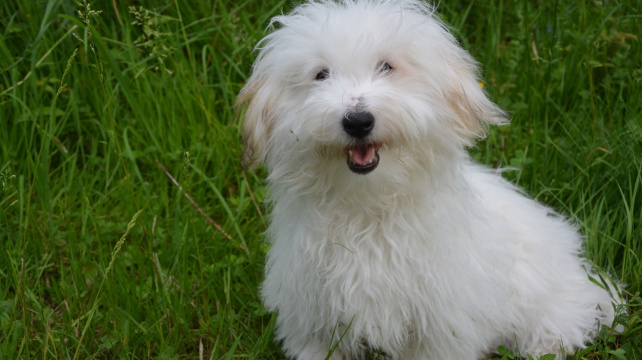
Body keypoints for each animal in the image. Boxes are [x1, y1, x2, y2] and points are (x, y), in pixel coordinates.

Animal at [238, 1, 616, 358]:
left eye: (387, 67)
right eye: (321, 74)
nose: (358, 121)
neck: (368, 207)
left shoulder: (440, 324)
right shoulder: (312, 318)